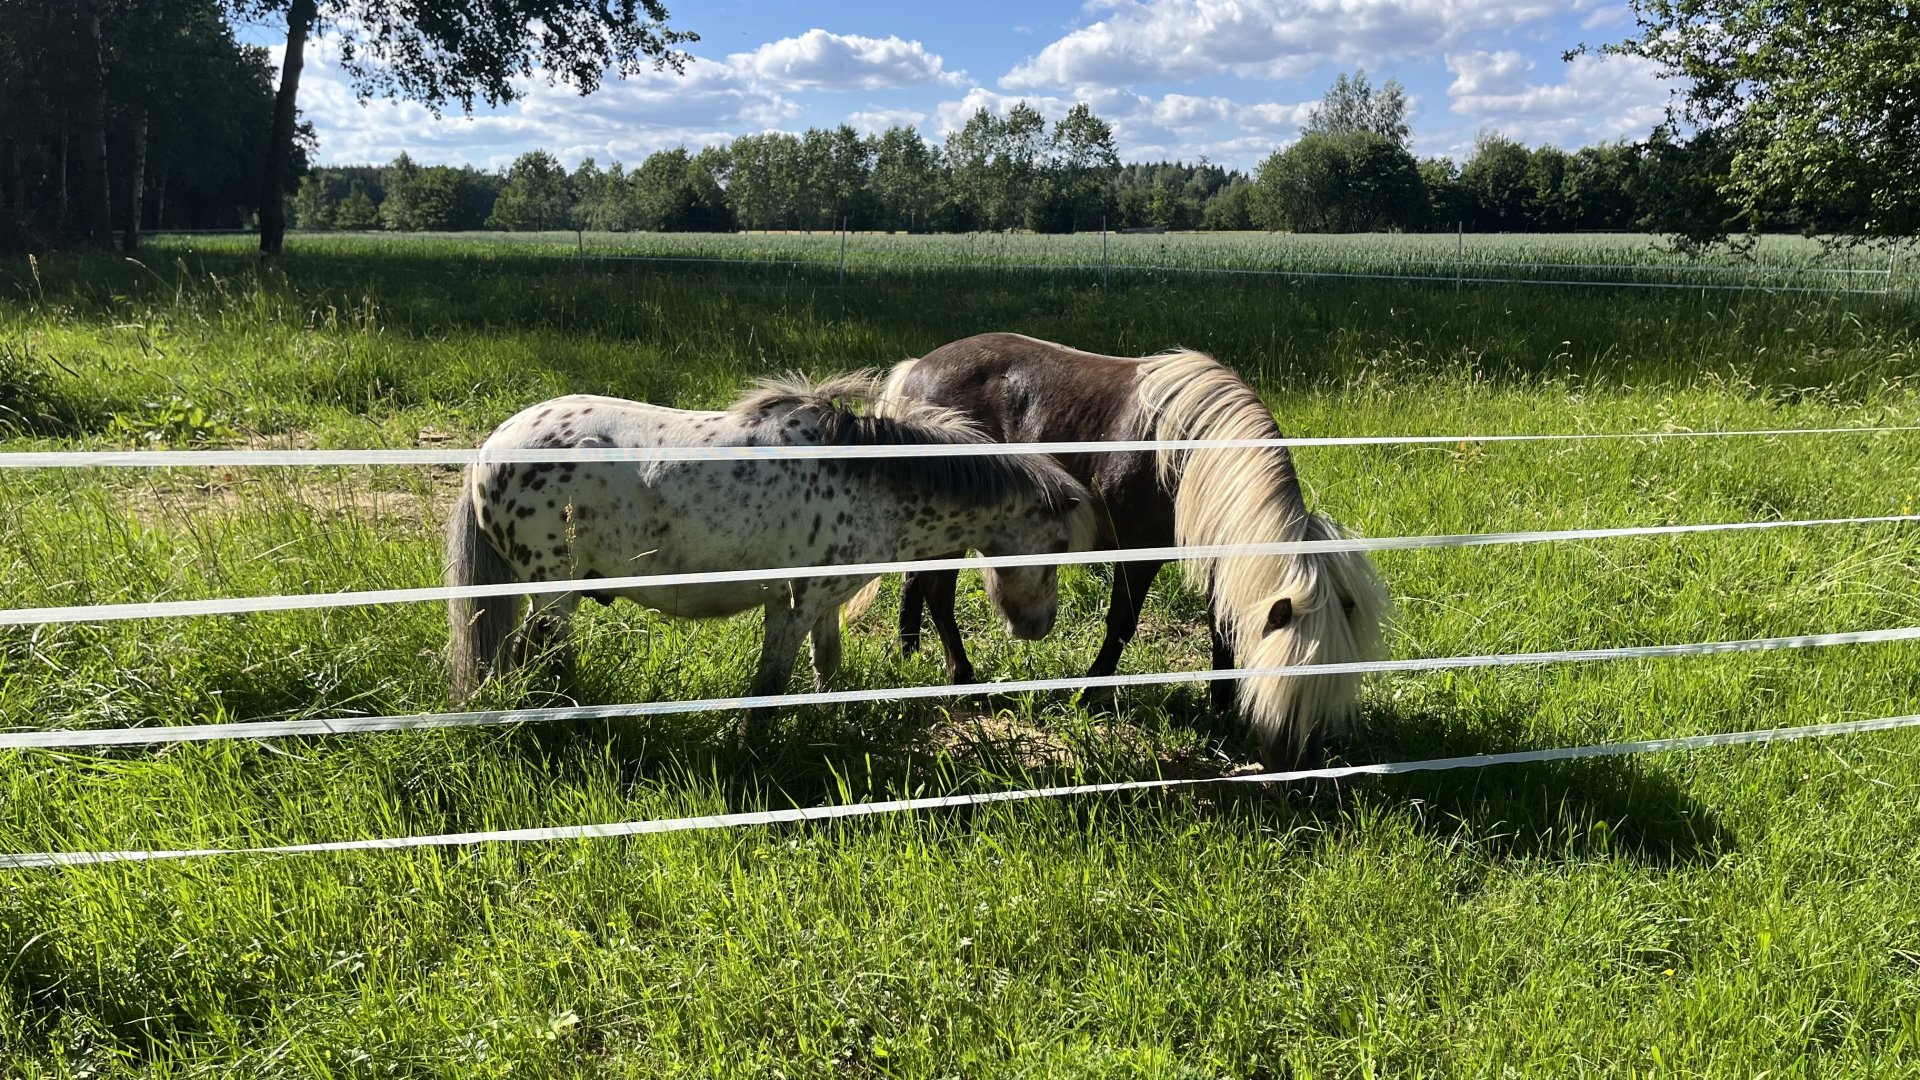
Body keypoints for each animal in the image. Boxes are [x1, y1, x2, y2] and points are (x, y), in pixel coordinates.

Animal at [445, 371, 1097, 747]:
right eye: (1060, 547)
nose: (1039, 627)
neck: (867, 478)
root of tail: (488, 451)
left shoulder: (825, 606)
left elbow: (828, 670)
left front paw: (842, 729)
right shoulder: (792, 605)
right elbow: (771, 684)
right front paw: (749, 748)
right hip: (553, 594)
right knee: (540, 661)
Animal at [845, 333, 1389, 768]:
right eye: (1291, 687)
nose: (1301, 772)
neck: (1189, 457)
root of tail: (915, 369)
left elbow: (1223, 628)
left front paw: (1221, 704)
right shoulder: (1138, 556)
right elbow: (1122, 624)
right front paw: (1091, 694)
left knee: (917, 582)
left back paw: (910, 654)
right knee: (937, 592)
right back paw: (961, 675)